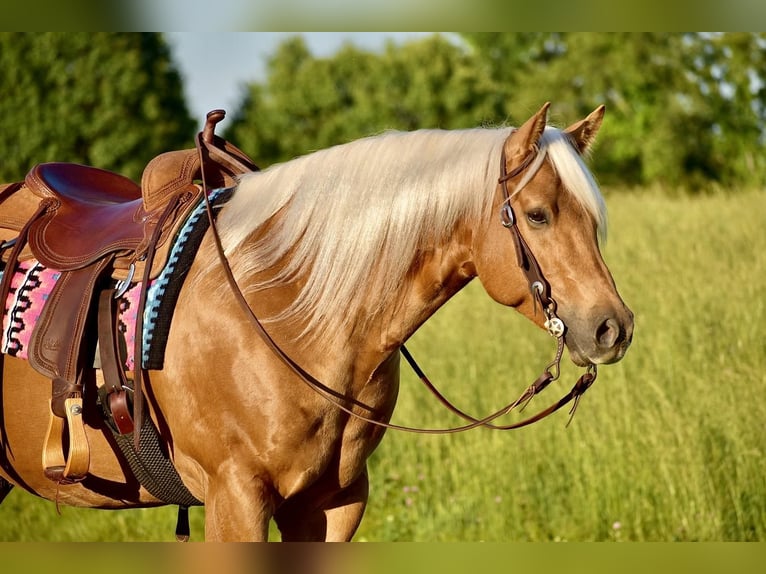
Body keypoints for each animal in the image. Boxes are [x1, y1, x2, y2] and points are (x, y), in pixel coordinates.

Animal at [0, 103, 636, 540]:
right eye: (538, 214)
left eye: (592, 218)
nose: (613, 328)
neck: (287, 313)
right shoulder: (236, 502)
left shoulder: (334, 504)